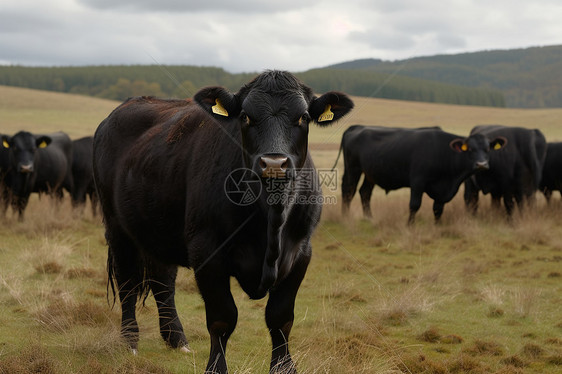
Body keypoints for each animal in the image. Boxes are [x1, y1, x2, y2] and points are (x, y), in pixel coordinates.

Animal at [94, 71, 352, 374]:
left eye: (303, 117)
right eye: (245, 116)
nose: (274, 163)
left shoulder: (301, 252)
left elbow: (281, 318)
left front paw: (283, 368)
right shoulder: (207, 251)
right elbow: (222, 318)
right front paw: (216, 368)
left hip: (160, 229)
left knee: (163, 282)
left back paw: (176, 339)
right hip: (117, 228)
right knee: (127, 283)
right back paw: (130, 341)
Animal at [334, 125, 506, 225]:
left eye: (488, 149)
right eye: (470, 149)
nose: (482, 164)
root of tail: (358, 127)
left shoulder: (442, 190)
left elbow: (438, 209)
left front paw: (438, 226)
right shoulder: (417, 182)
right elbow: (414, 205)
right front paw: (410, 226)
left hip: (371, 173)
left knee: (365, 192)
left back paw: (369, 218)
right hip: (353, 169)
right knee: (348, 190)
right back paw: (345, 217)